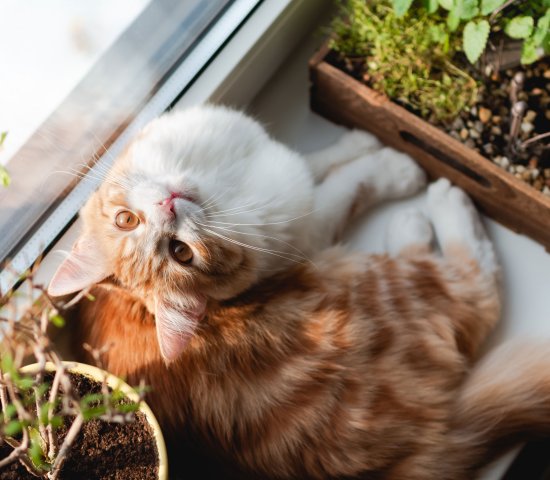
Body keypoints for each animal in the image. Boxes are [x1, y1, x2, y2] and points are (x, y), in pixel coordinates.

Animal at [48, 106, 550, 480]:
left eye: (177, 250)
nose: (167, 204)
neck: (222, 182)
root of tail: (425, 448)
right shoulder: (307, 228)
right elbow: (350, 184)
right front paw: (396, 165)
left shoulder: (279, 171)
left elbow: (317, 162)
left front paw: (360, 142)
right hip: (378, 283)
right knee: (475, 286)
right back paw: (431, 210)